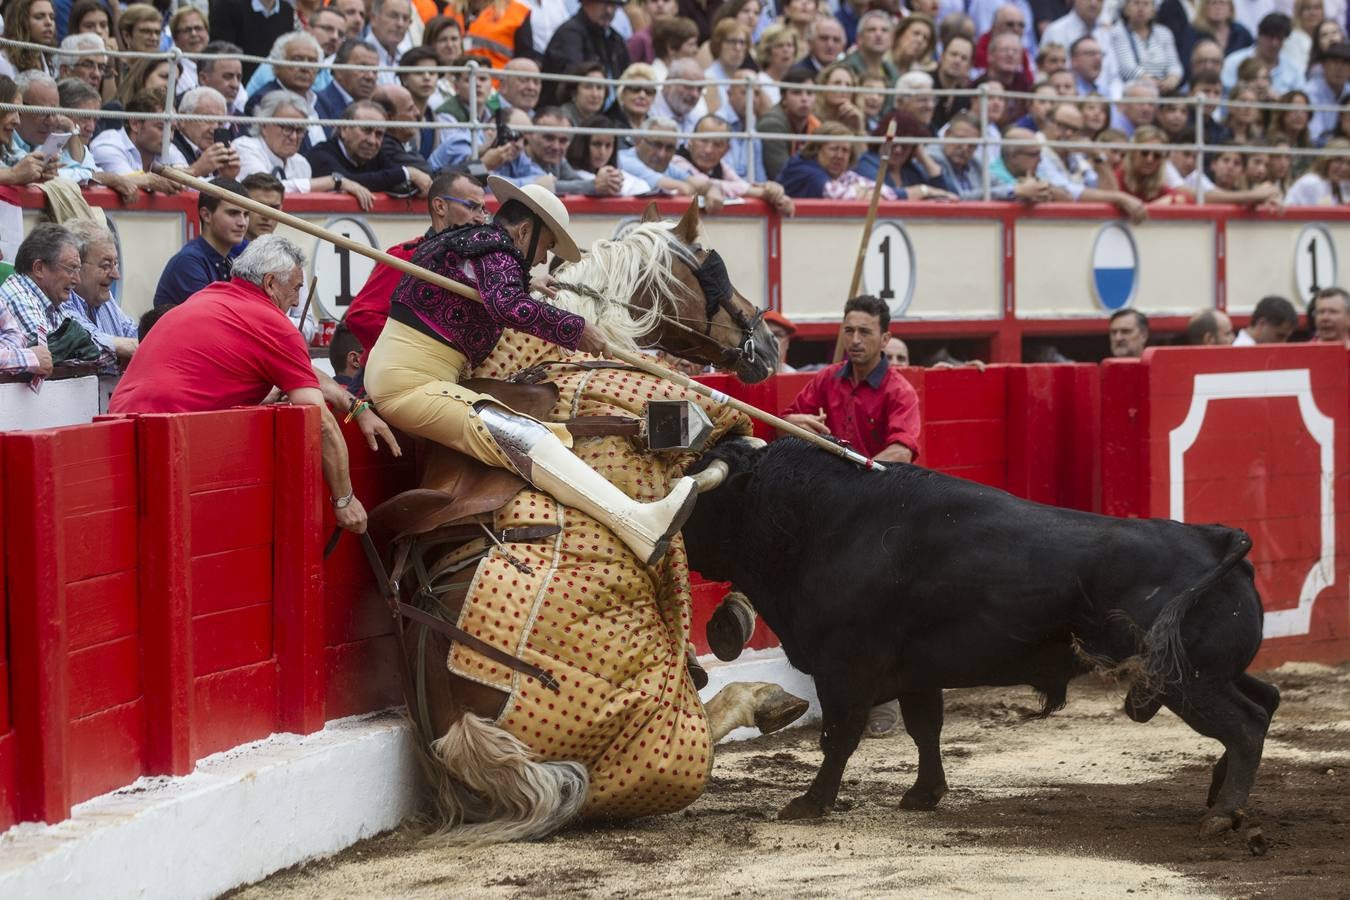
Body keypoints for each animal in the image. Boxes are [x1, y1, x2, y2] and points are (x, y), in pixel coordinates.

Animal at [364, 202, 804, 847]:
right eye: (712, 266)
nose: (769, 344)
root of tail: (464, 730)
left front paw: (730, 620)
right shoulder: (684, 450)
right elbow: (742, 463)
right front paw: (733, 613)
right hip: (650, 711)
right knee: (701, 726)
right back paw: (766, 697)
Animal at [685, 439, 1274, 847]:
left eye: (701, 495)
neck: (814, 520)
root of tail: (1215, 539)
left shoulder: (845, 671)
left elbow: (839, 738)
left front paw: (809, 804)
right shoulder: (915, 673)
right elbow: (925, 729)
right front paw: (924, 795)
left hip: (1188, 680)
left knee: (1245, 724)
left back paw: (1222, 814)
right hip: (1211, 674)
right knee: (1265, 702)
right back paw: (1218, 794)